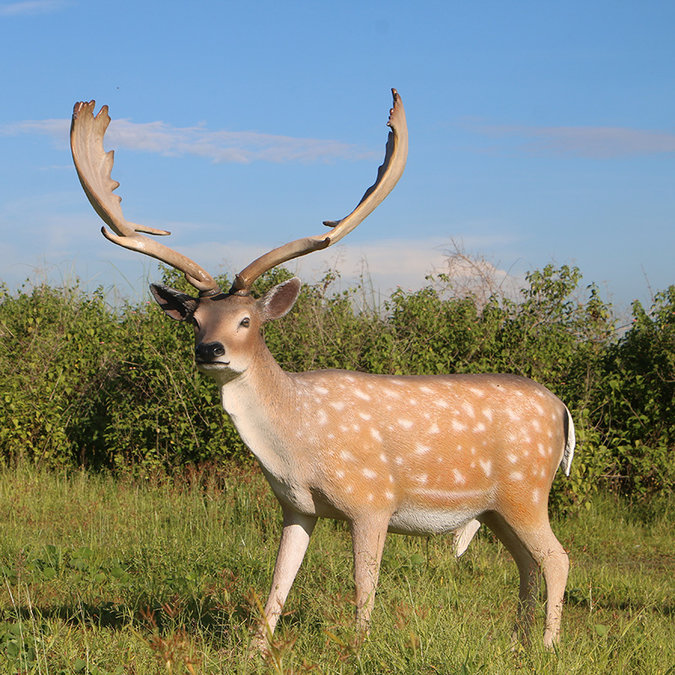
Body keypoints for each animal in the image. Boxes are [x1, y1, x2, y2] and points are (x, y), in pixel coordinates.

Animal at [70, 90, 574, 651]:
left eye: (247, 320)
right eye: (195, 320)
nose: (210, 351)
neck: (296, 445)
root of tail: (564, 411)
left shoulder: (372, 499)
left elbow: (363, 583)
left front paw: (358, 647)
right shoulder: (297, 506)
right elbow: (279, 578)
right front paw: (257, 647)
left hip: (526, 489)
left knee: (557, 558)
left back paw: (548, 645)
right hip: (497, 507)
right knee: (527, 563)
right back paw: (519, 640)